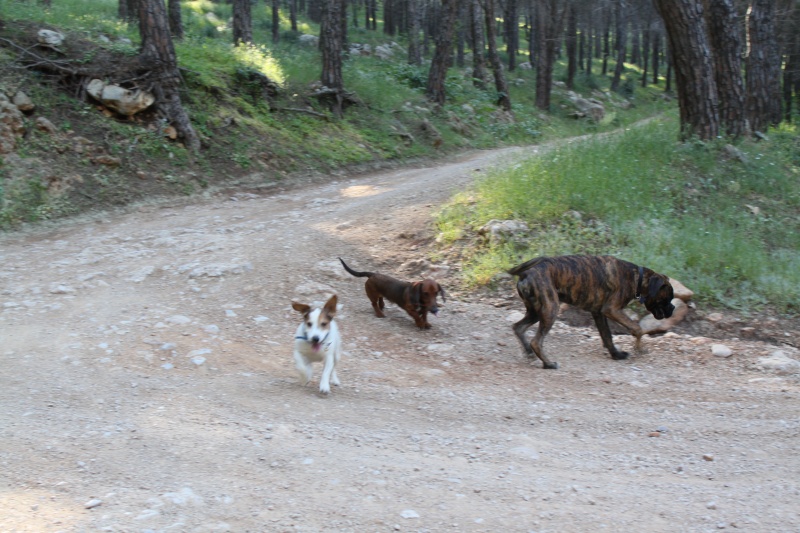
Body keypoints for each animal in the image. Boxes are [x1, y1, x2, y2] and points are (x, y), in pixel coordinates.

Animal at [506, 256, 676, 368]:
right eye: (667, 298)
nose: (673, 309)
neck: (636, 277)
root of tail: (526, 273)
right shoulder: (612, 309)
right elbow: (637, 328)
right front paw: (640, 349)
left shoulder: (599, 313)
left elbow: (607, 336)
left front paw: (616, 355)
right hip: (550, 309)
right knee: (536, 341)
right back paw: (548, 363)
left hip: (537, 311)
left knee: (518, 327)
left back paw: (529, 353)